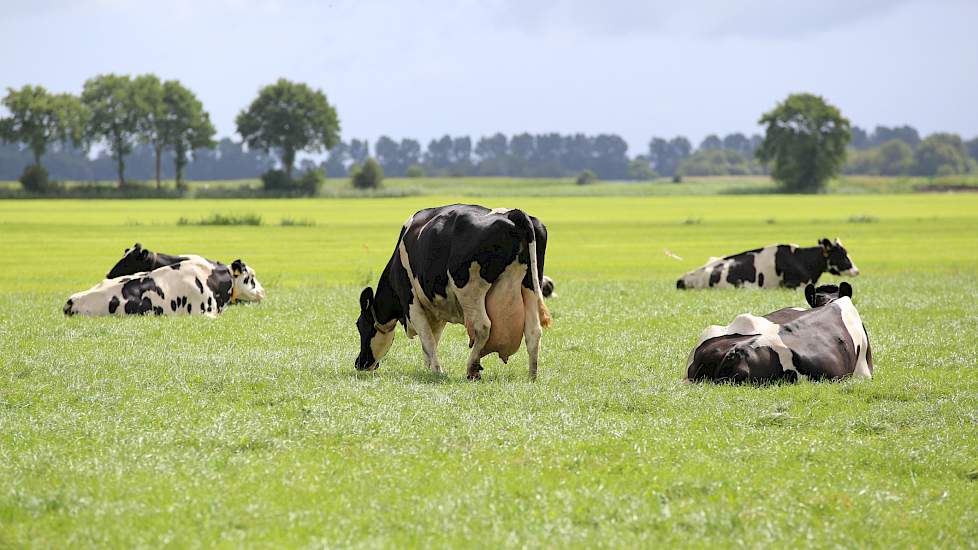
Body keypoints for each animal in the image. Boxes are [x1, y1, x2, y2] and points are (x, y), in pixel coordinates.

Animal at [352, 205, 552, 382]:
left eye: (361, 326)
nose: (359, 363)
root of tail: (512, 214)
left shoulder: (411, 302)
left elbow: (427, 338)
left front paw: (437, 371)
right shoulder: (436, 310)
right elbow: (433, 339)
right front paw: (429, 368)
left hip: (470, 289)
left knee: (483, 326)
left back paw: (472, 369)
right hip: (530, 286)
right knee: (533, 331)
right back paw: (532, 376)